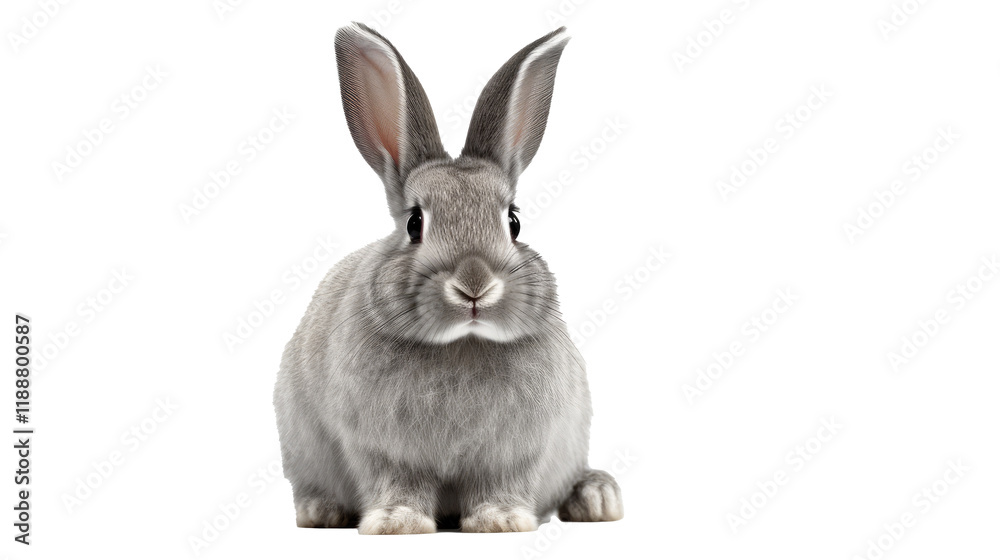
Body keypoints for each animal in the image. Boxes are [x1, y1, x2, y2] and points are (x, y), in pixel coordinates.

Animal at [272, 22, 623, 534]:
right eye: (415, 223)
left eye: (513, 222)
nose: (474, 286)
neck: (463, 343)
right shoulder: (383, 451)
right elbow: (397, 482)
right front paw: (396, 522)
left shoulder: (514, 452)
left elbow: (501, 483)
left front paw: (501, 521)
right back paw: (322, 512)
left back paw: (598, 497)